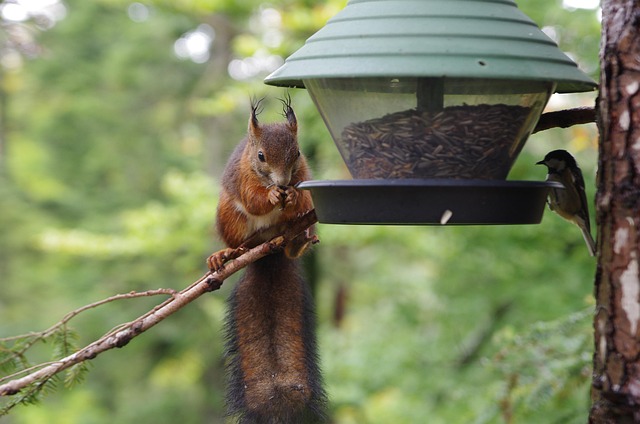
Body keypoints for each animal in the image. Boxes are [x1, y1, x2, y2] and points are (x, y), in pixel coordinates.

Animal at [207, 96, 327, 423]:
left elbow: (302, 195)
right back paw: (228, 254)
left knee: (297, 236)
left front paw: (292, 198)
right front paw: (272, 196)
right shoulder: (244, 178)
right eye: (261, 156)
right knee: (240, 240)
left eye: (297, 152)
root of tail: (267, 251)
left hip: (302, 226)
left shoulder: (304, 175)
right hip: (229, 216)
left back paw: (297, 242)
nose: (283, 182)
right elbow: (253, 200)